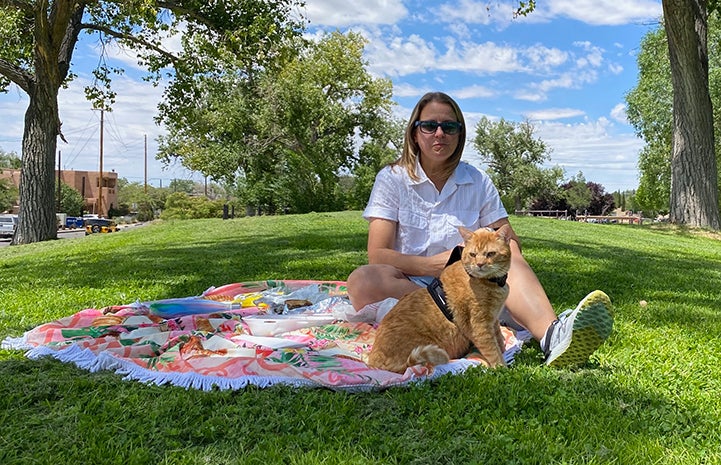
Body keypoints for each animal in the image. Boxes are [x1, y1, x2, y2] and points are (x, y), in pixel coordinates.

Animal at [366, 223, 512, 372]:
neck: (492, 282)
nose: (480, 264)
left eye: (491, 253)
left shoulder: (493, 320)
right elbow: (493, 351)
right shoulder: (479, 326)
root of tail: (374, 364)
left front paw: (505, 352)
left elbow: (499, 341)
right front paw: (502, 367)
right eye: (473, 254)